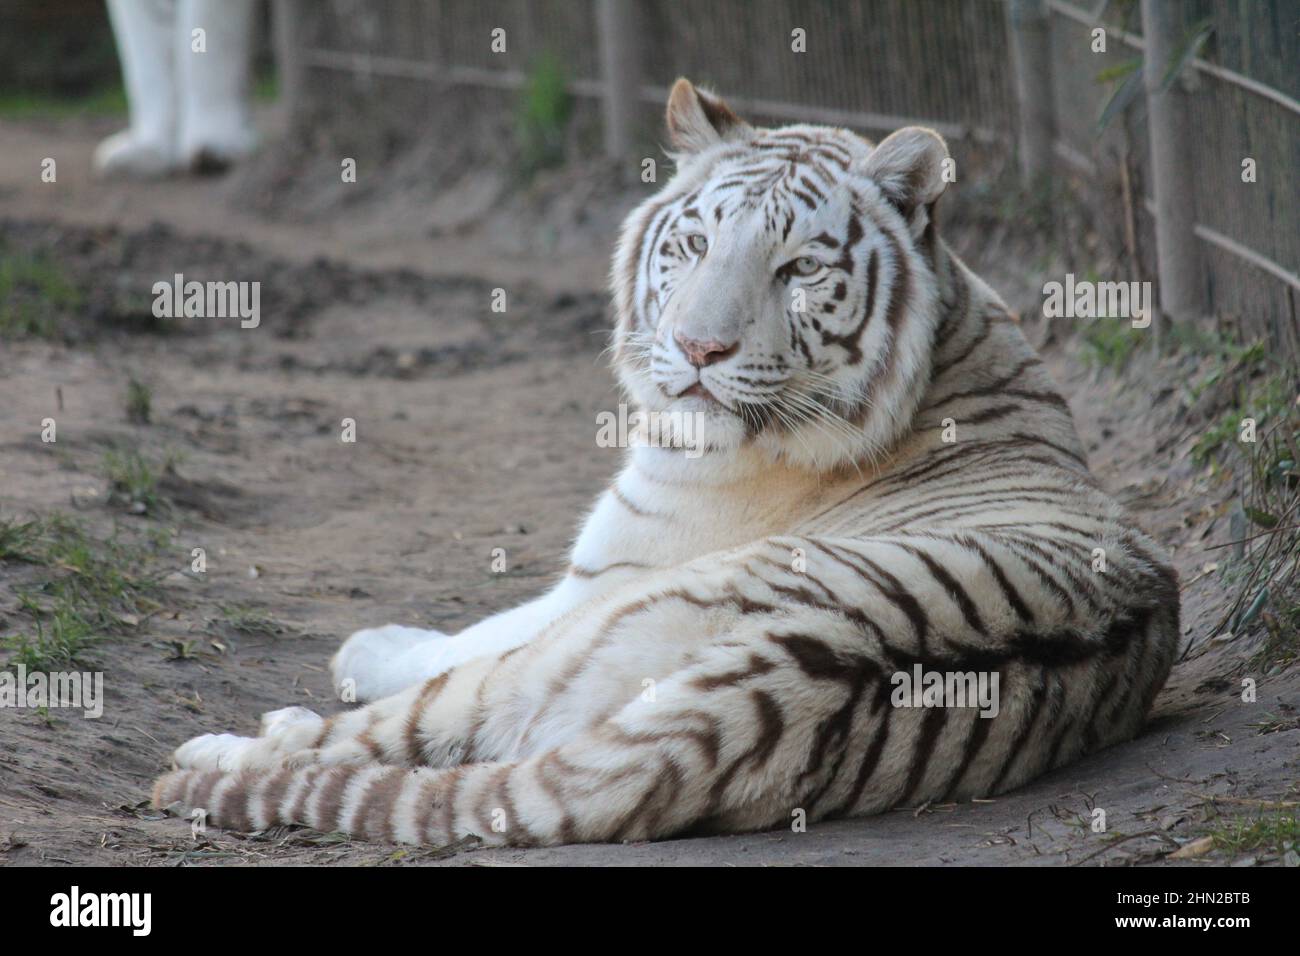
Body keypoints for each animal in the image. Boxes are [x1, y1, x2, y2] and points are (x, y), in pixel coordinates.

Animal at [152, 79, 1179, 848]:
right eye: (693, 243)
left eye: (800, 269)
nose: (696, 348)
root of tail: (763, 693)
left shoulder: (600, 581)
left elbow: (465, 634)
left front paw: (365, 646)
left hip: (575, 649)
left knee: (397, 731)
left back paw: (228, 749)